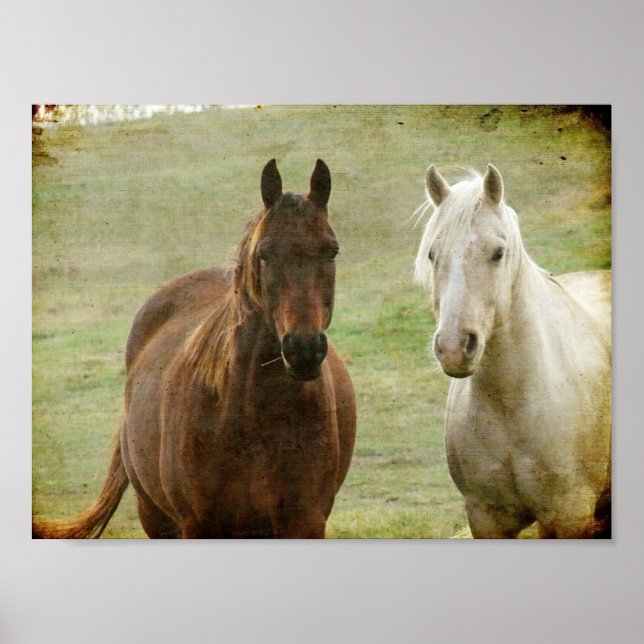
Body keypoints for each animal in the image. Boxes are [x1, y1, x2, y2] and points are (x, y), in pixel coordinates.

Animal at [33, 159, 356, 539]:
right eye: (264, 254)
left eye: (331, 250)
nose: (304, 350)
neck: (250, 415)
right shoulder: (200, 524)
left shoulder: (304, 522)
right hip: (155, 517)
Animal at [414, 164, 611, 538]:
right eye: (433, 254)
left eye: (498, 252)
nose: (454, 348)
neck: (513, 404)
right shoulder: (485, 517)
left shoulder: (569, 516)